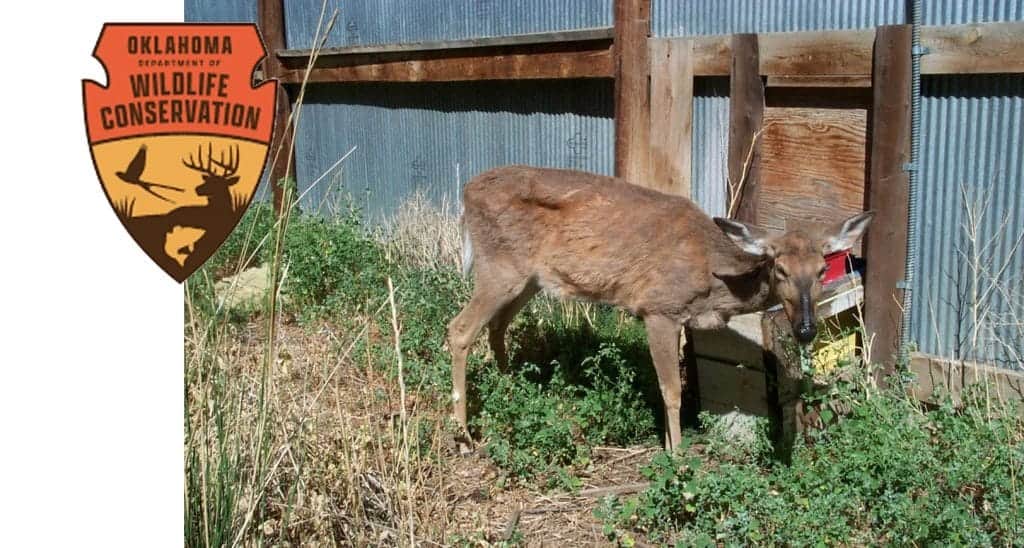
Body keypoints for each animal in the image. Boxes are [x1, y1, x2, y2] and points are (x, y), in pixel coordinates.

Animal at [447, 165, 874, 450]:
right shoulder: (658, 308)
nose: (806, 329)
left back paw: (510, 391)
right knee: (459, 329)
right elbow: (672, 390)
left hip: (528, 279)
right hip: (499, 266)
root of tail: (465, 192)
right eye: (780, 268)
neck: (713, 279)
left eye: (822, 270)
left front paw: (670, 445)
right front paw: (678, 456)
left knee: (496, 326)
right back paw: (465, 435)